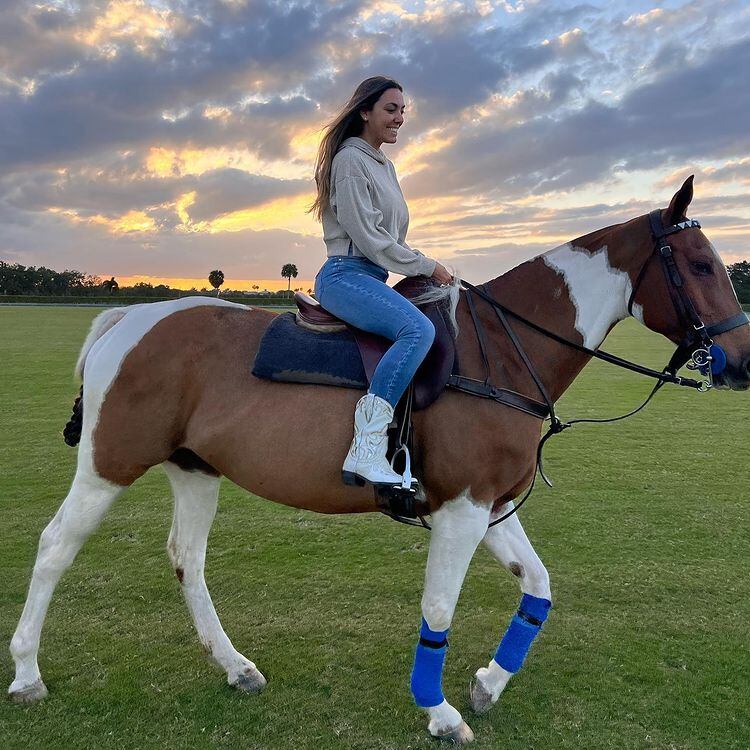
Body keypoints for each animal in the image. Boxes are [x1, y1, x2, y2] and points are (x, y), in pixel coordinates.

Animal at [7, 178, 750, 748]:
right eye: (702, 266)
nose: (741, 364)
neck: (502, 354)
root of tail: (127, 319)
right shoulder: (461, 512)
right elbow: (439, 609)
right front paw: (441, 712)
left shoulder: (487, 504)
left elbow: (539, 587)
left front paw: (487, 685)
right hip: (110, 464)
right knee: (55, 547)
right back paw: (26, 674)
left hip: (194, 468)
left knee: (187, 558)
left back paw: (236, 667)